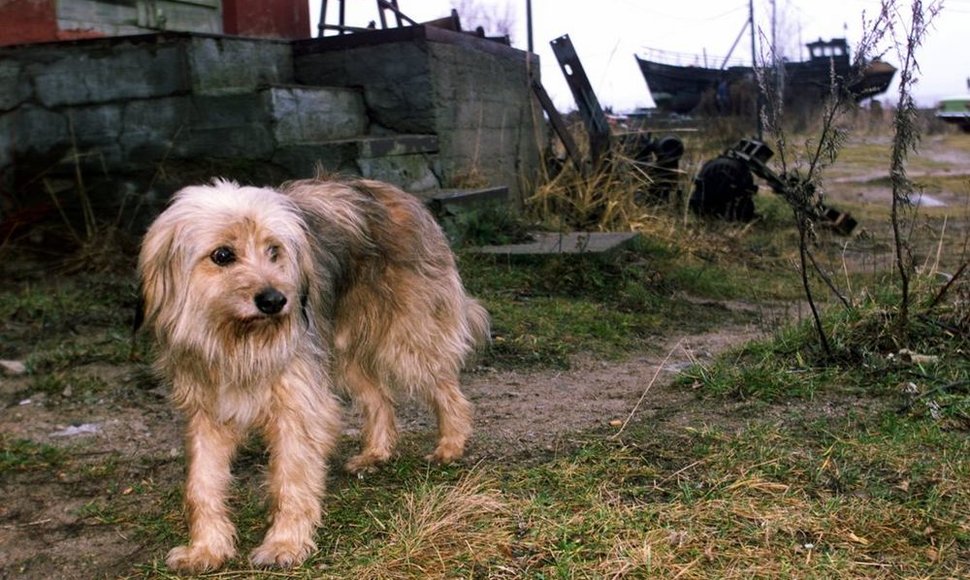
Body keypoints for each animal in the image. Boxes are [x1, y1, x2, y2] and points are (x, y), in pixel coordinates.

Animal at [136, 176, 488, 572]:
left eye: (273, 250)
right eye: (222, 255)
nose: (276, 301)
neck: (238, 343)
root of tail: (403, 195)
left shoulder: (298, 405)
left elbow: (292, 478)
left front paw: (284, 544)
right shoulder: (207, 408)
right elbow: (201, 483)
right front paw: (206, 548)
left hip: (408, 340)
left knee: (448, 390)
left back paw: (450, 445)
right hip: (345, 352)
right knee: (378, 398)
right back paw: (376, 453)